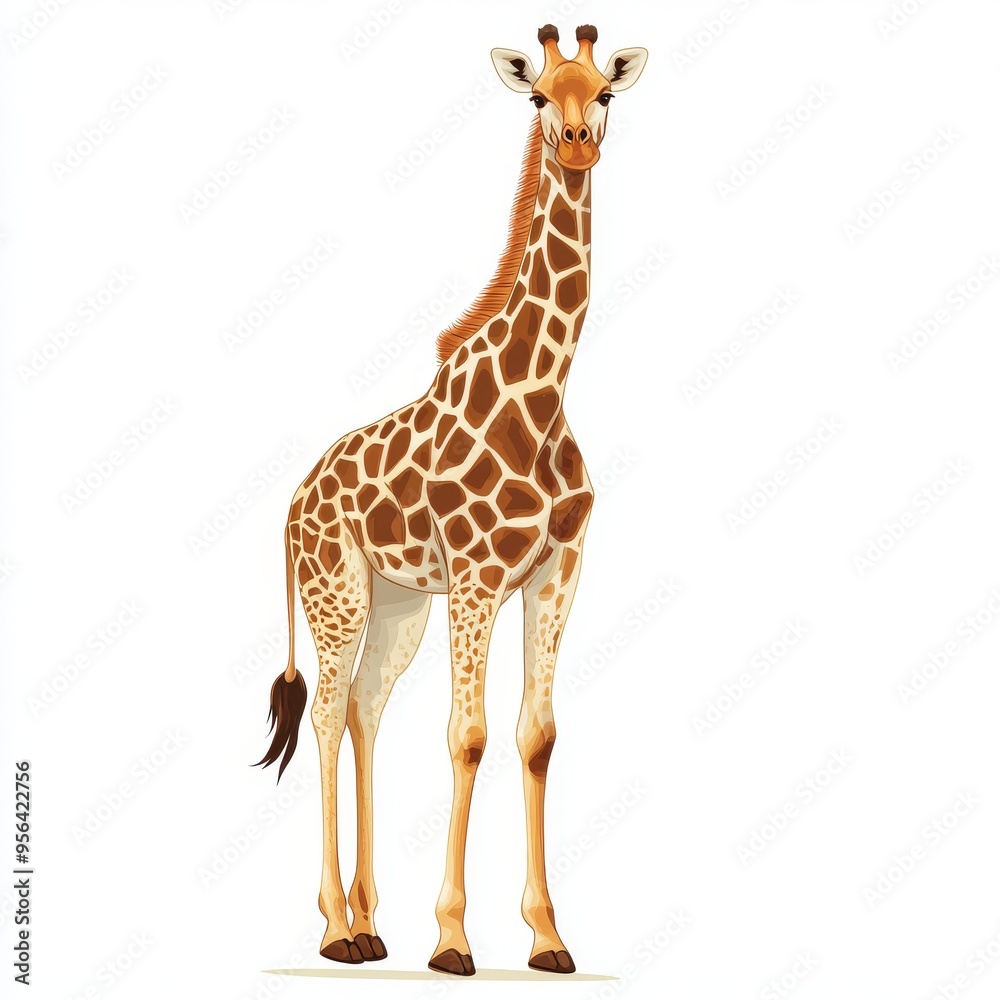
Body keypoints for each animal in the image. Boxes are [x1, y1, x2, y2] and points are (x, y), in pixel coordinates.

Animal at [256, 24, 647, 976]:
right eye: (539, 95)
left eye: (604, 94)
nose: (576, 144)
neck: (542, 393)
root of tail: (292, 506)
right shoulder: (476, 577)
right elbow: (467, 736)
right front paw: (454, 940)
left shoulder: (557, 572)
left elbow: (537, 737)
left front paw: (548, 938)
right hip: (337, 592)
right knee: (327, 714)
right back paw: (334, 929)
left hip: (397, 603)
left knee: (365, 707)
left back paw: (369, 924)